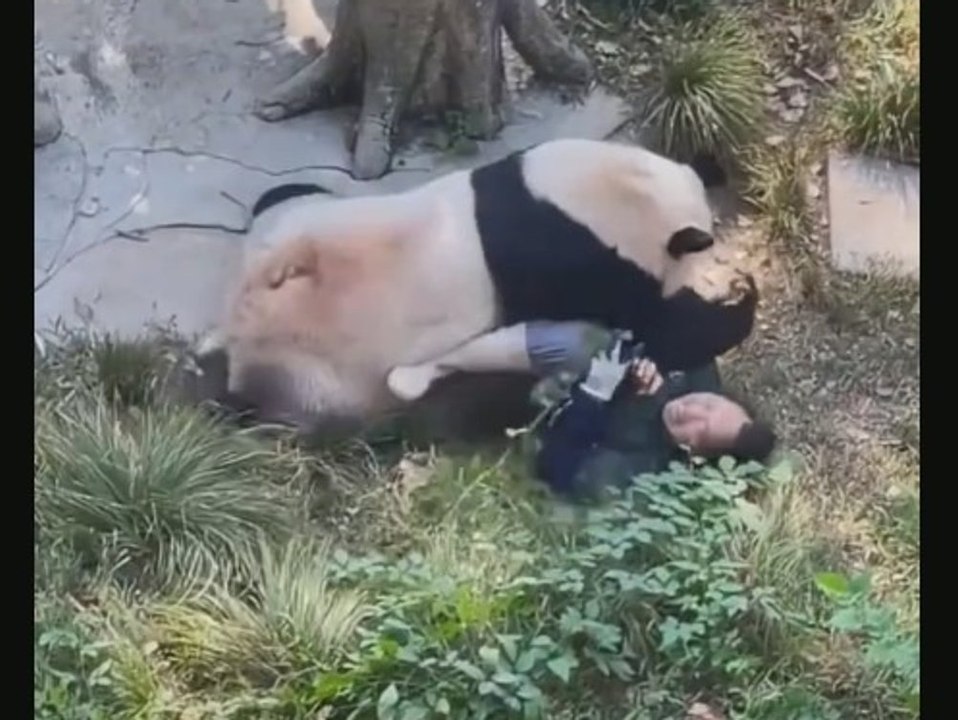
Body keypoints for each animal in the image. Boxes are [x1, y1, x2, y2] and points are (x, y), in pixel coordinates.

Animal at [198, 138, 756, 431]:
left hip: (294, 222)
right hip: (317, 373)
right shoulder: (584, 265)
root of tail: (237, 331)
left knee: (285, 195)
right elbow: (660, 328)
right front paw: (738, 302)